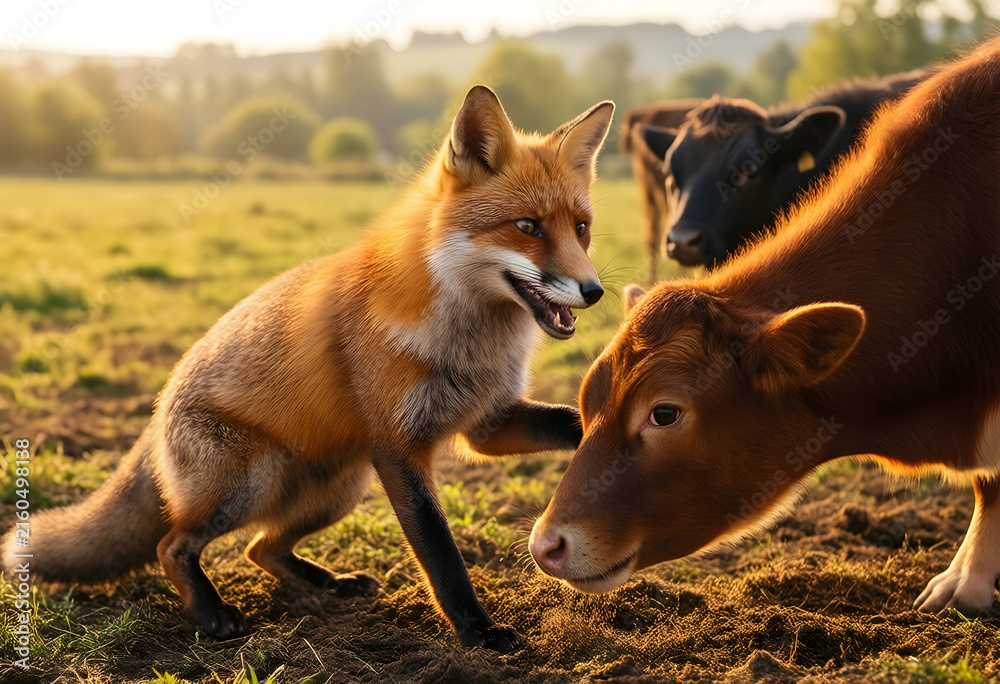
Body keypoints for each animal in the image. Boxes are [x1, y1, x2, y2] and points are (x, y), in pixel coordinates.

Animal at [0, 86, 614, 652]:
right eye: (527, 227)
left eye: (582, 228)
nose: (594, 291)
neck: (470, 343)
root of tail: (153, 413)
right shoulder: (399, 448)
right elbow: (441, 555)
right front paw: (477, 631)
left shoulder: (485, 423)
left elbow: (569, 422)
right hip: (254, 480)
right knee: (171, 547)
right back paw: (213, 615)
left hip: (339, 488)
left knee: (262, 548)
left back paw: (329, 584)